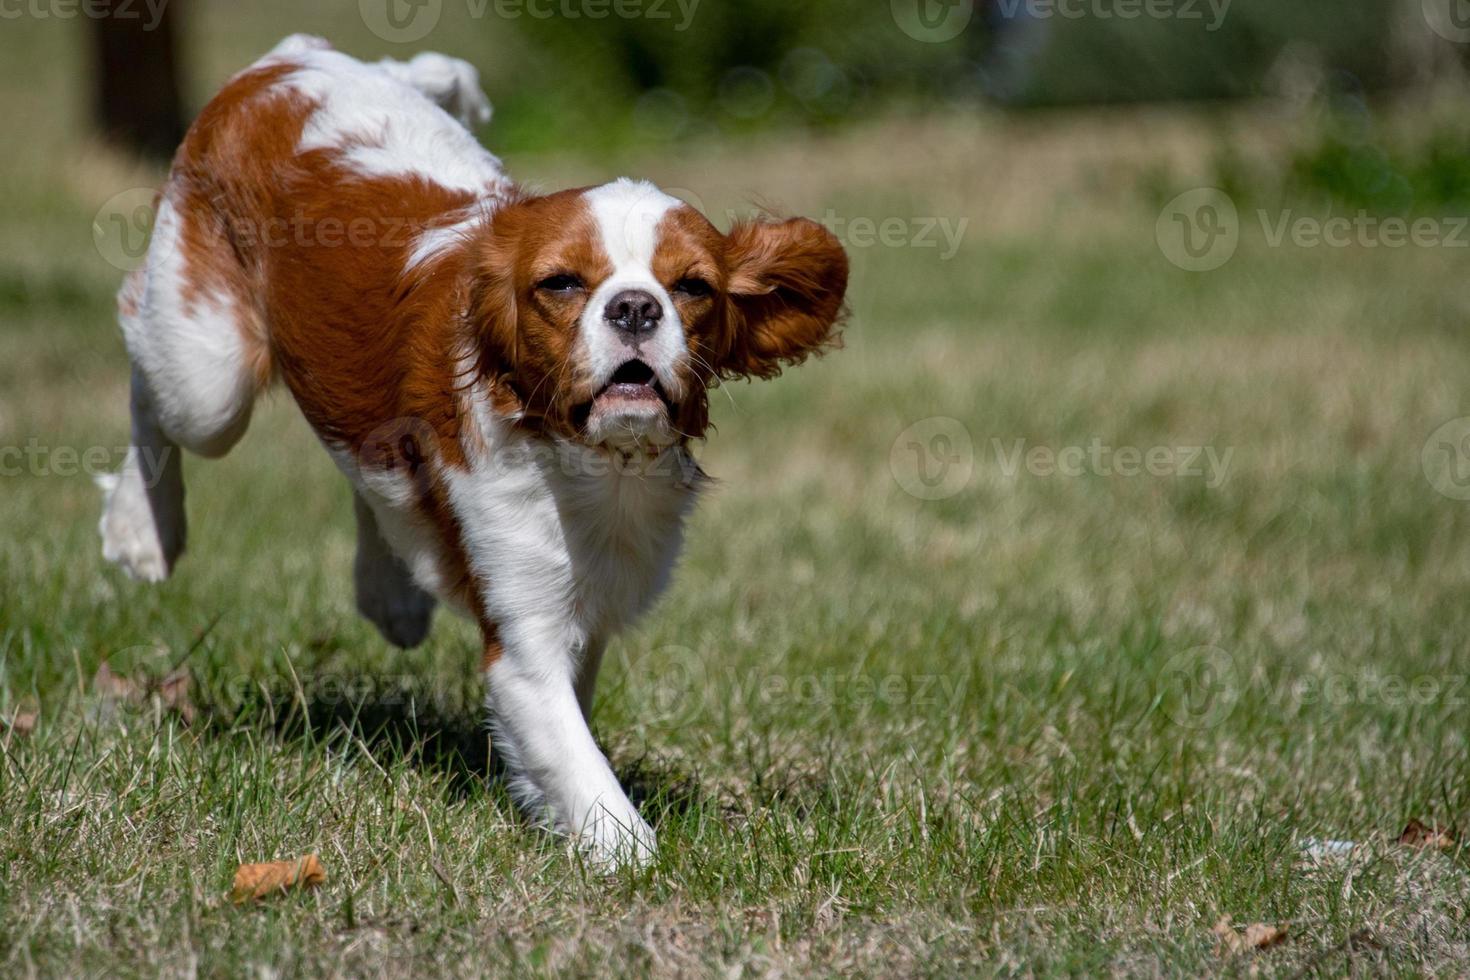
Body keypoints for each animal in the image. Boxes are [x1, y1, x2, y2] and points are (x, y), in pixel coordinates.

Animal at [97, 36, 852, 863]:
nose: (634, 307)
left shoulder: (584, 616)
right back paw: (143, 529)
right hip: (208, 377)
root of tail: (290, 58)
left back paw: (391, 592)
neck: (591, 465)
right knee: (142, 353)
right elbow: (585, 774)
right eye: (561, 283)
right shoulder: (524, 644)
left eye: (692, 287)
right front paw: (634, 860)